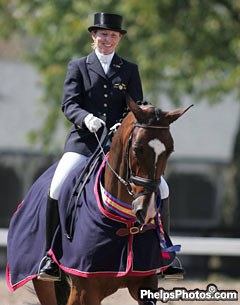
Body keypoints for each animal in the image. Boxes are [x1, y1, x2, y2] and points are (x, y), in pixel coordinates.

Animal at [31, 96, 191, 302]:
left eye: (170, 151)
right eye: (137, 149)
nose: (146, 211)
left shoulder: (145, 282)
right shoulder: (84, 290)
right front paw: (94, 122)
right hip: (46, 286)